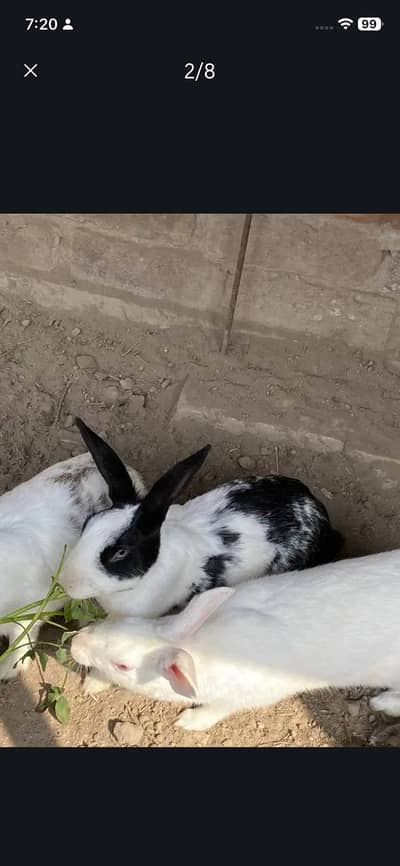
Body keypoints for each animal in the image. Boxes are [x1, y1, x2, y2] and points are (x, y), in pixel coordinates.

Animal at [71, 548, 400, 729]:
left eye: (123, 665)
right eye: (129, 622)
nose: (75, 644)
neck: (201, 649)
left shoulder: (244, 698)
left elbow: (216, 710)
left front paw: (188, 722)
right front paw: (94, 683)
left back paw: (382, 703)